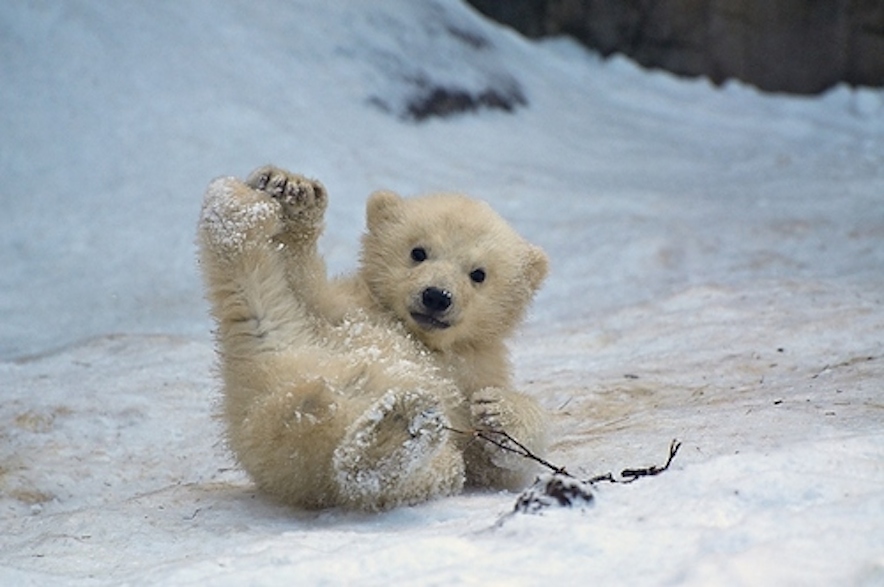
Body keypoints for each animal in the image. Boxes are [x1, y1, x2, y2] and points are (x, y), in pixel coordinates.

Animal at [197, 165, 548, 511]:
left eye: (478, 274)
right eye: (418, 252)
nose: (436, 296)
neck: (421, 337)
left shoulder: (475, 367)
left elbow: (494, 465)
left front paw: (497, 409)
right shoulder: (346, 308)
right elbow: (303, 285)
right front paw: (293, 191)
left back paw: (397, 432)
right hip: (284, 349)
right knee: (258, 297)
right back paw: (236, 208)